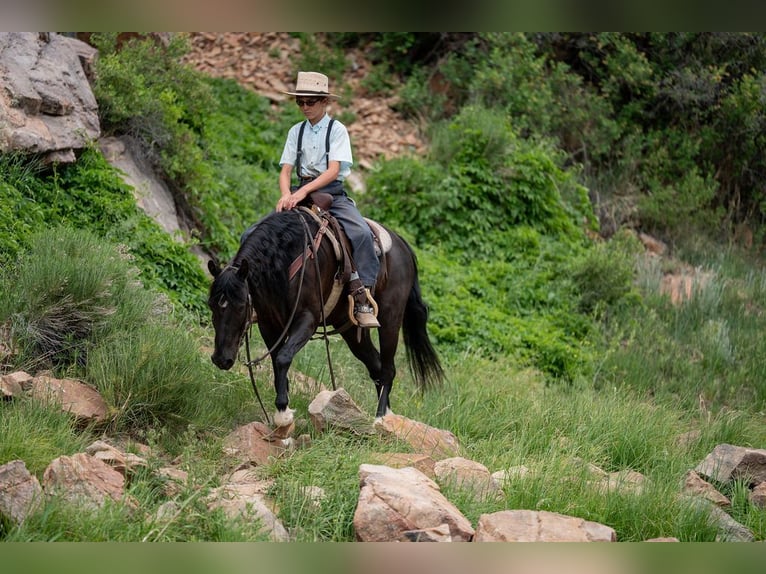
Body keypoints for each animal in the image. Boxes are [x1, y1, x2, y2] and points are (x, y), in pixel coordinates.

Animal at [206, 207, 444, 427]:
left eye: (240, 306)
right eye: (211, 305)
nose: (221, 359)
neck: (284, 261)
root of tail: (403, 245)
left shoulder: (307, 320)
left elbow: (283, 358)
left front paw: (283, 413)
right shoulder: (269, 325)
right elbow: (276, 361)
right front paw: (283, 409)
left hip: (390, 319)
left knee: (387, 369)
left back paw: (380, 419)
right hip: (351, 331)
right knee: (375, 366)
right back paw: (385, 414)